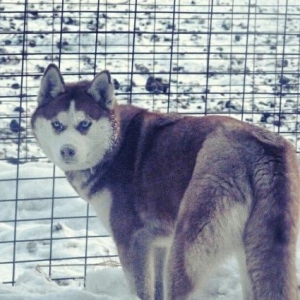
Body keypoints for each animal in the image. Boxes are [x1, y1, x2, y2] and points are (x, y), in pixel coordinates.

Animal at [31, 63, 300, 300]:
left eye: (84, 124)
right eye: (57, 124)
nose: (68, 151)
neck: (115, 147)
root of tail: (262, 148)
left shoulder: (131, 240)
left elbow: (140, 289)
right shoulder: (157, 243)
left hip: (188, 250)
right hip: (255, 253)